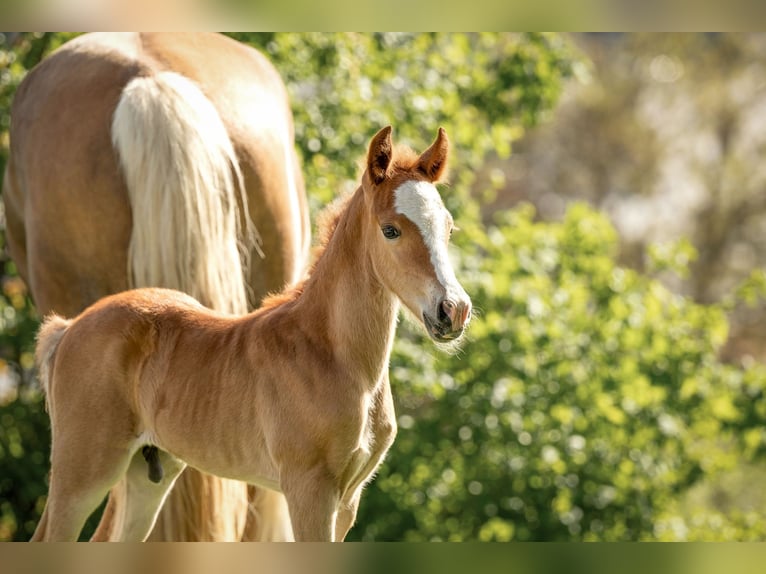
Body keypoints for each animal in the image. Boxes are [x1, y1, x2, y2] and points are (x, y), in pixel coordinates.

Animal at [33, 127, 472, 544]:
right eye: (390, 230)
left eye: (449, 229)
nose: (453, 310)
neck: (331, 355)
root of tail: (69, 327)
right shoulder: (308, 490)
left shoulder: (348, 501)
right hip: (83, 471)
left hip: (147, 473)